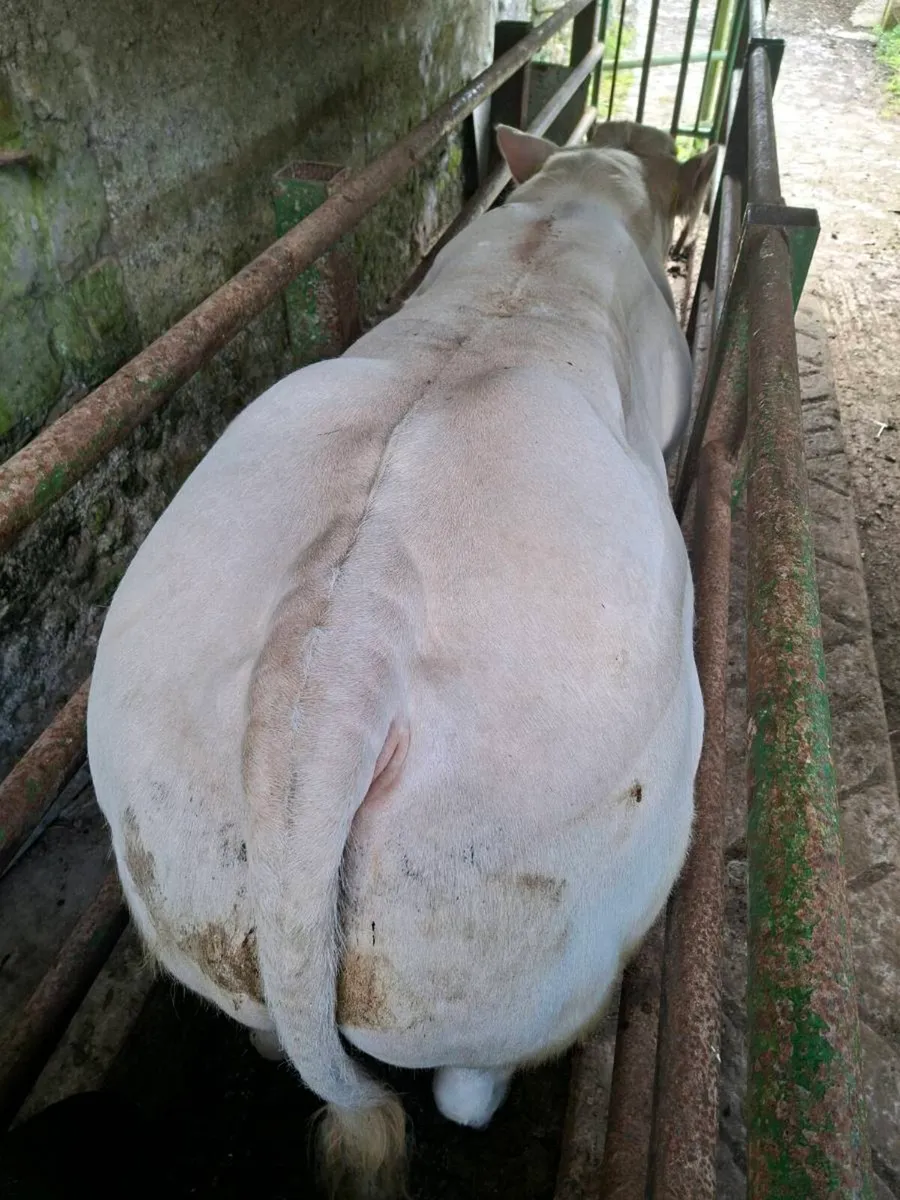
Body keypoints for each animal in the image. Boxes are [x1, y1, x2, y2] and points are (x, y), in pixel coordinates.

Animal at [87, 121, 713, 1198]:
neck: (575, 202)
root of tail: (339, 655)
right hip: (519, 926)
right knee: (468, 1080)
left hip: (175, 859)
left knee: (265, 1025)